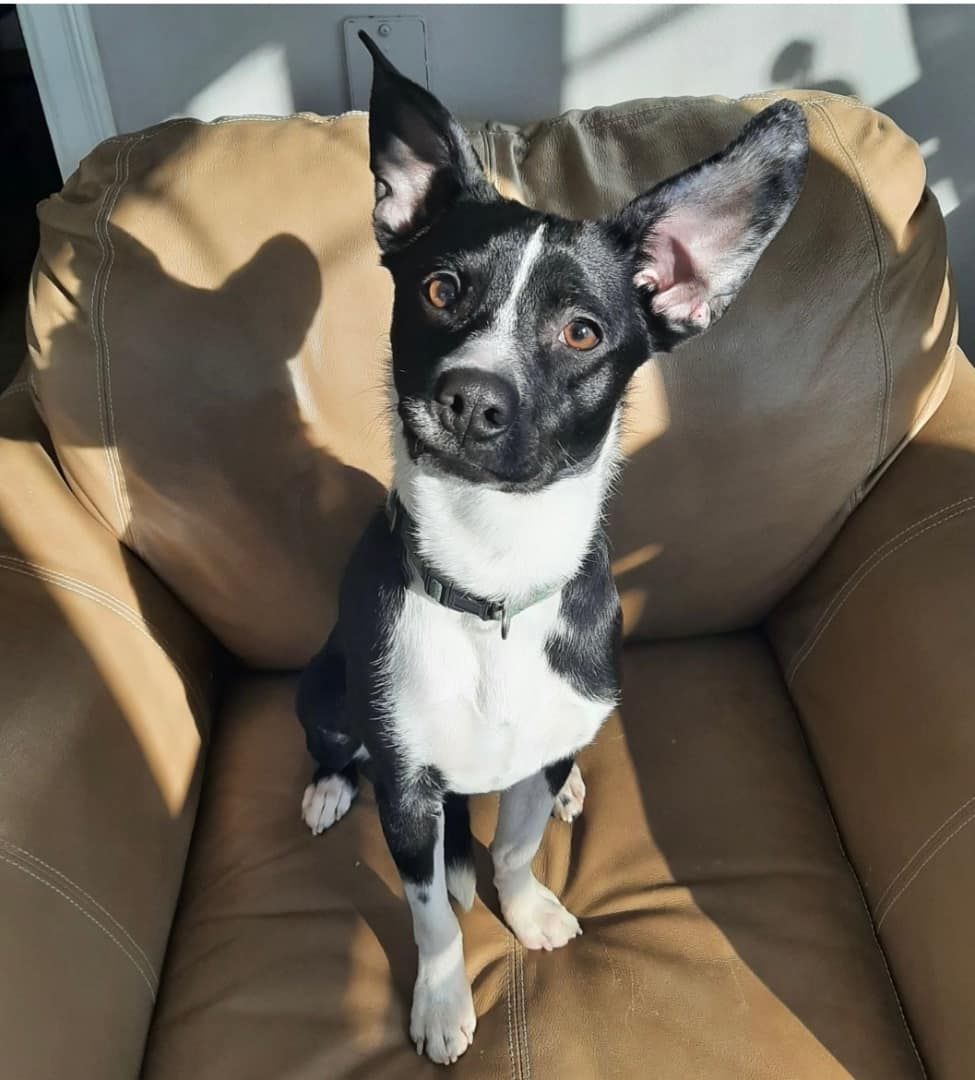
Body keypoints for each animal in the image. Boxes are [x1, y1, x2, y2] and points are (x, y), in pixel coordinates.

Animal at [296, 32, 808, 1065]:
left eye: (581, 332)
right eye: (439, 289)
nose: (467, 396)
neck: (491, 573)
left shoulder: (534, 752)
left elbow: (518, 845)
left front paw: (527, 909)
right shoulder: (407, 794)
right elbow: (432, 915)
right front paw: (442, 1002)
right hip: (325, 686)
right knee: (332, 742)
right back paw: (328, 792)